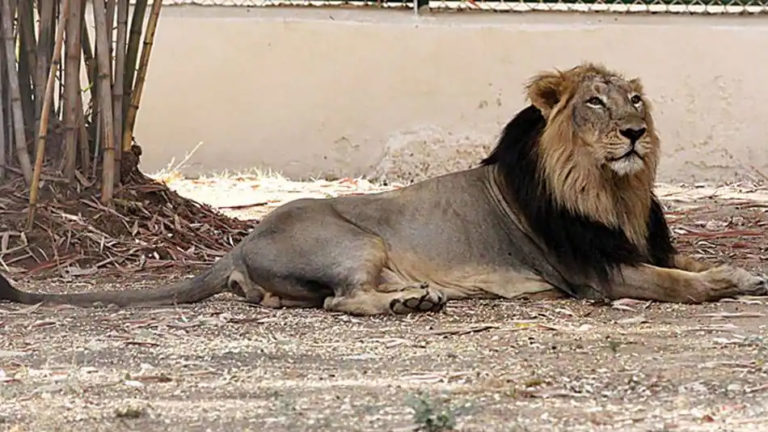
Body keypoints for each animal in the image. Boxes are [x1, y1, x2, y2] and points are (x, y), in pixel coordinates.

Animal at [1, 63, 766, 314]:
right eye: (596, 104)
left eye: (636, 100)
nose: (635, 132)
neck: (612, 191)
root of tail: (238, 244)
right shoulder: (597, 273)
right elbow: (679, 282)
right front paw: (725, 281)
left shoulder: (636, 242)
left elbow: (687, 259)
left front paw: (745, 271)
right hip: (356, 242)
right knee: (340, 301)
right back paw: (408, 304)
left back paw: (418, 297)